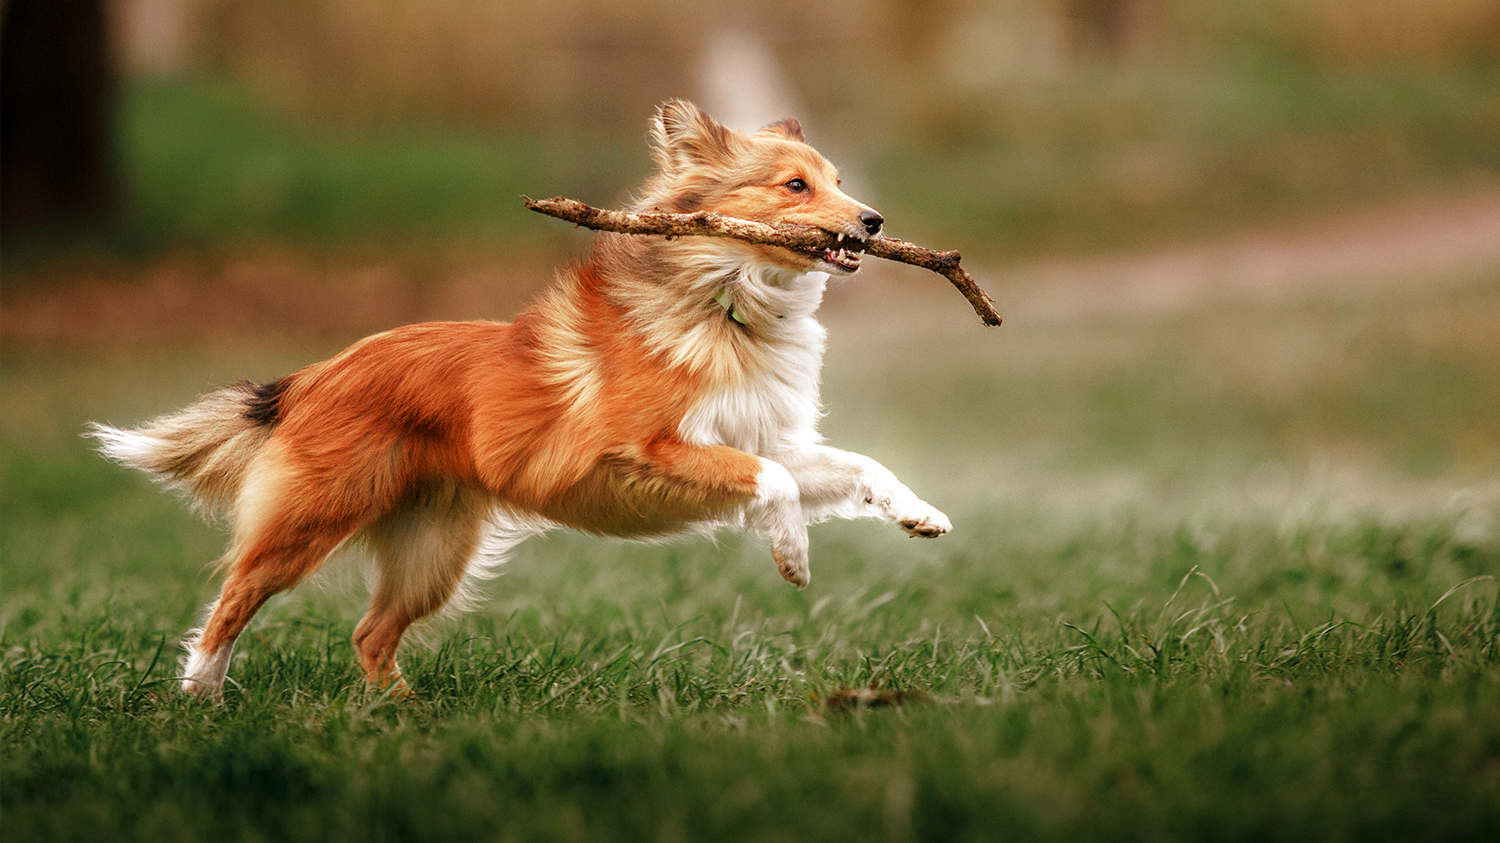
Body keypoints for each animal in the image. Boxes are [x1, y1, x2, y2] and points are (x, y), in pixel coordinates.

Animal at [93, 99, 954, 696]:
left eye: (838, 181)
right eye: (795, 185)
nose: (873, 221)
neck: (728, 305)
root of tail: (319, 371)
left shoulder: (760, 438)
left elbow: (856, 465)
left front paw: (920, 514)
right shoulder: (651, 447)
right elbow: (773, 484)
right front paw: (793, 556)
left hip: (433, 550)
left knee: (370, 634)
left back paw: (405, 713)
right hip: (315, 518)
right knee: (236, 595)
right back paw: (202, 692)